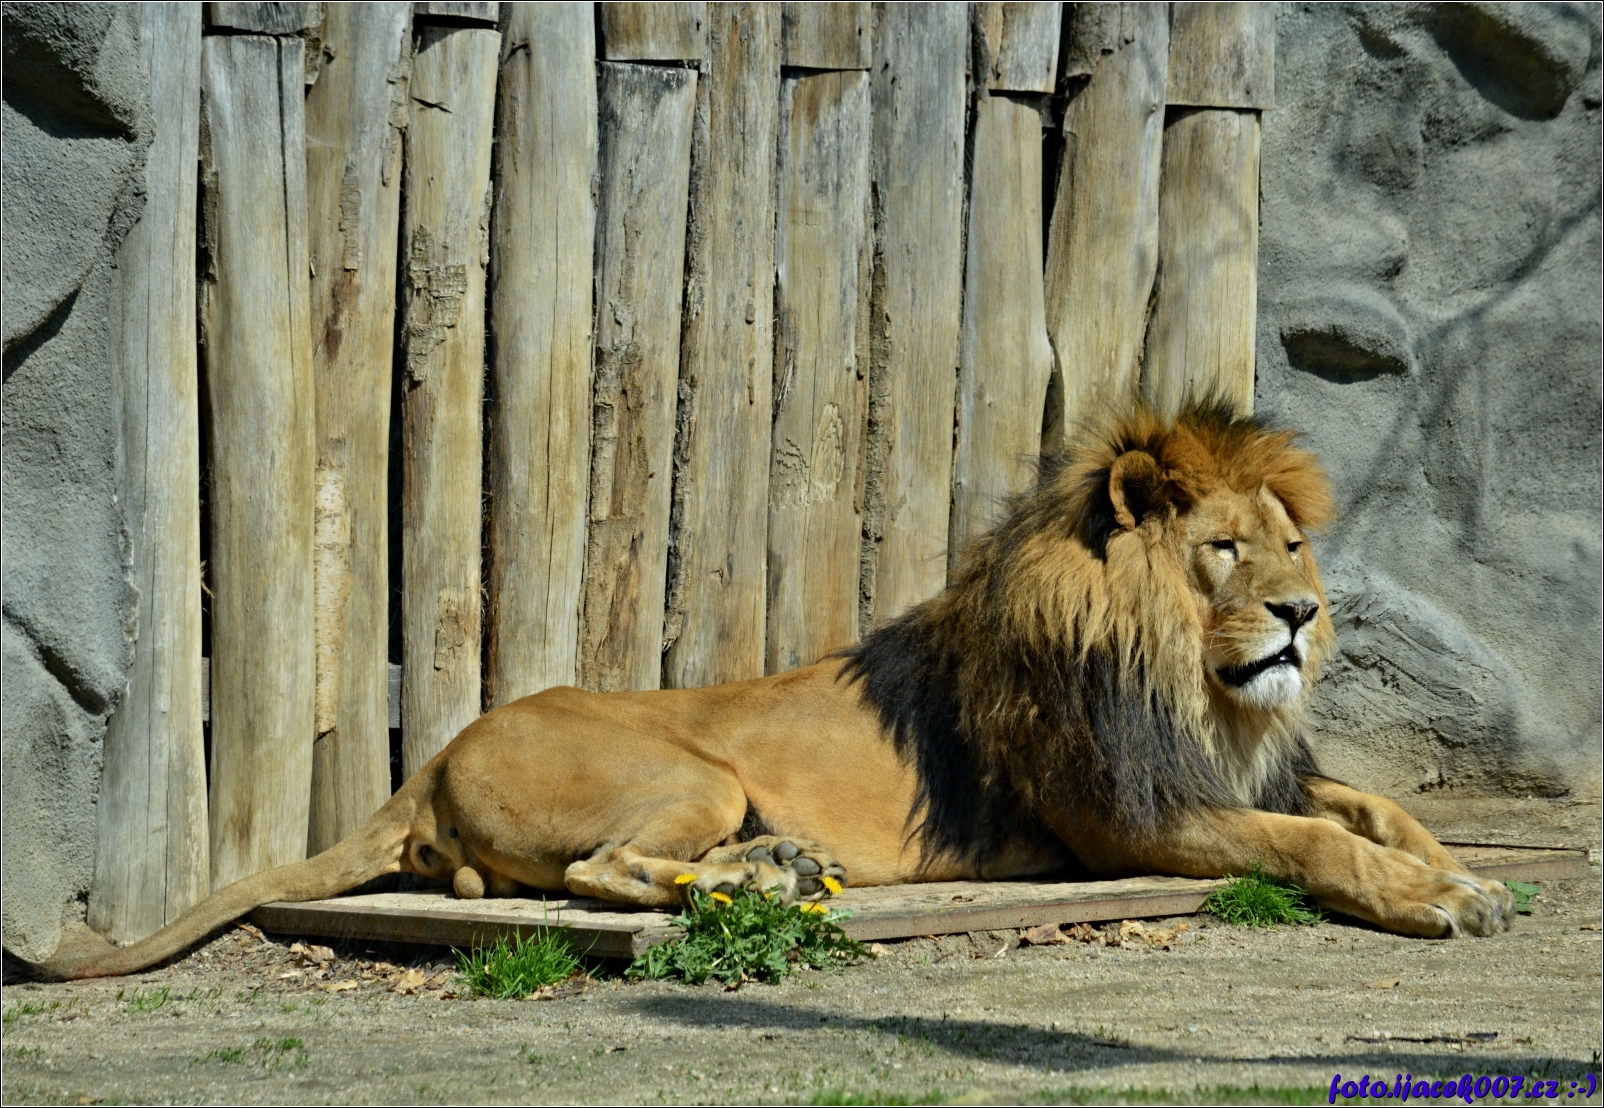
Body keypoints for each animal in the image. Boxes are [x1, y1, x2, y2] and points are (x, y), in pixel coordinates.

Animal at [34, 400, 1513, 980]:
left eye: (1290, 542)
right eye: (1224, 550)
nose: (1304, 617)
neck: (1192, 685)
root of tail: (425, 761)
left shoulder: (1241, 767)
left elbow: (1375, 807)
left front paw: (1464, 873)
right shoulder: (1128, 818)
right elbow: (1314, 840)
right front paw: (1436, 901)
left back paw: (780, 867)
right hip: (692, 768)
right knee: (601, 876)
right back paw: (758, 882)